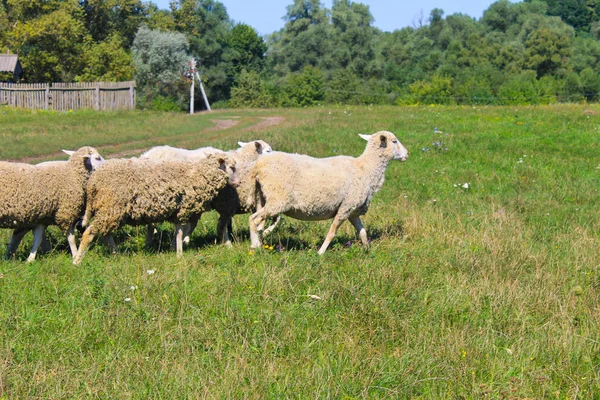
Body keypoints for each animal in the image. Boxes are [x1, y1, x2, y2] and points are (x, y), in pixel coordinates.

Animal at [75, 155, 241, 264]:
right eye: (232, 167)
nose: (239, 183)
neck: (198, 174)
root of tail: (93, 182)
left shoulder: (179, 212)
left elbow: (179, 233)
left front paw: (176, 250)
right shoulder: (183, 211)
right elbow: (181, 234)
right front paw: (180, 254)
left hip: (111, 211)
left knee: (105, 234)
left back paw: (116, 254)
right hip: (111, 207)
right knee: (90, 233)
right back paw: (77, 260)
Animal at [247, 133, 408, 255]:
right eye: (394, 141)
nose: (407, 154)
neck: (365, 169)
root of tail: (258, 166)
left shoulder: (352, 210)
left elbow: (362, 232)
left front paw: (368, 250)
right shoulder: (345, 208)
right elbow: (332, 232)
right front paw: (320, 253)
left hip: (263, 197)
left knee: (258, 223)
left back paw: (259, 243)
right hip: (277, 199)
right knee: (253, 219)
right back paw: (255, 246)